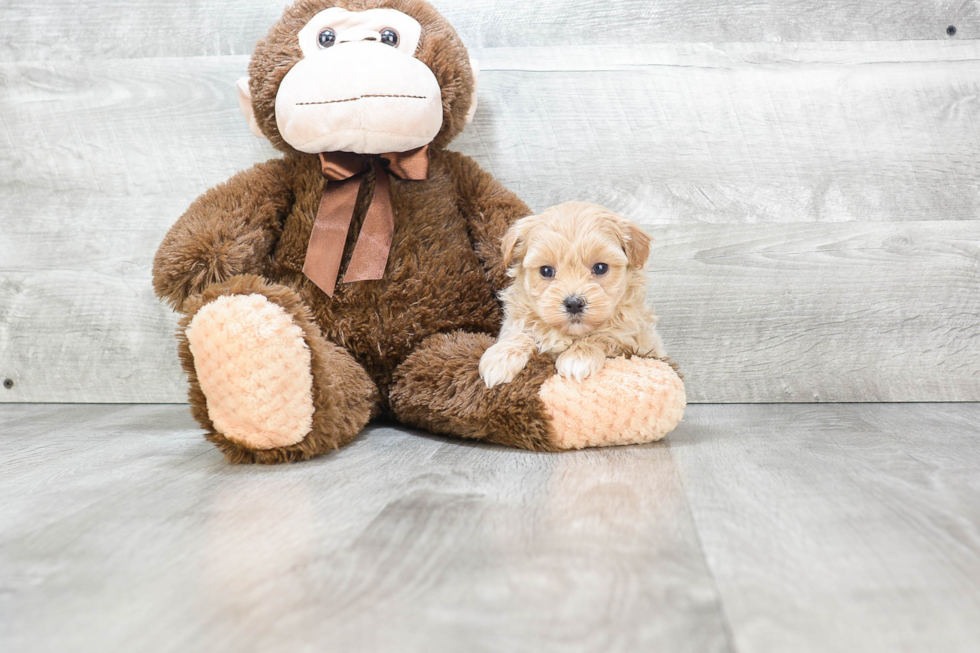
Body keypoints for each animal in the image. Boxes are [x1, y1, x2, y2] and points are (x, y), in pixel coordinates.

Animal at [476, 201, 668, 388]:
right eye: (546, 271)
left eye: (600, 267)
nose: (574, 303)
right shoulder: (515, 319)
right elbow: (520, 332)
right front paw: (500, 358)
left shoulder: (637, 342)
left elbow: (603, 336)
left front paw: (578, 358)